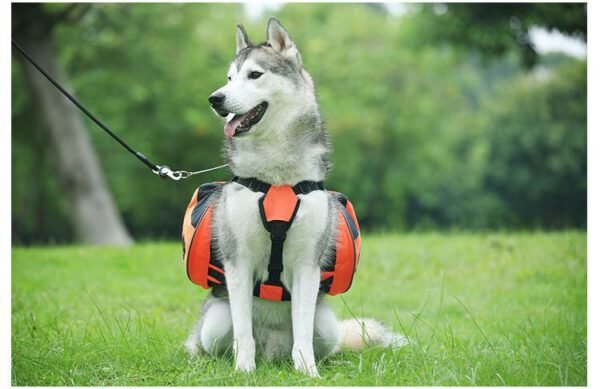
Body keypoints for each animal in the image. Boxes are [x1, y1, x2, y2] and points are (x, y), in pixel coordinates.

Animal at [185, 17, 406, 376]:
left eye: (255, 75)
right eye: (229, 78)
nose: (215, 98)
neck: (277, 180)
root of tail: (271, 352)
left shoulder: (307, 264)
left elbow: (302, 328)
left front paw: (308, 371)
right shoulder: (238, 261)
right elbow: (243, 330)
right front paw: (243, 371)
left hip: (327, 327)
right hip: (214, 323)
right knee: (211, 341)